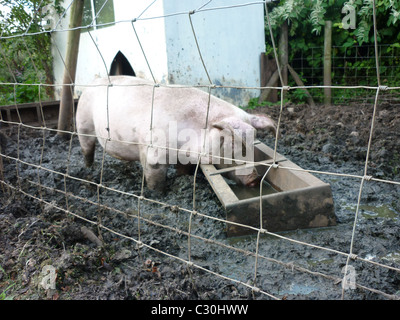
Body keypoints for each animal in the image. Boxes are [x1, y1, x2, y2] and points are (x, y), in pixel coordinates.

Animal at [77, 76, 278, 191]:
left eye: (252, 147)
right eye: (227, 144)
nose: (255, 178)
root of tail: (91, 83)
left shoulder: (185, 156)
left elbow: (184, 171)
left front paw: (183, 179)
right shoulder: (153, 152)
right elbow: (155, 179)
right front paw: (157, 195)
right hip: (83, 123)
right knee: (87, 148)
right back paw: (89, 169)